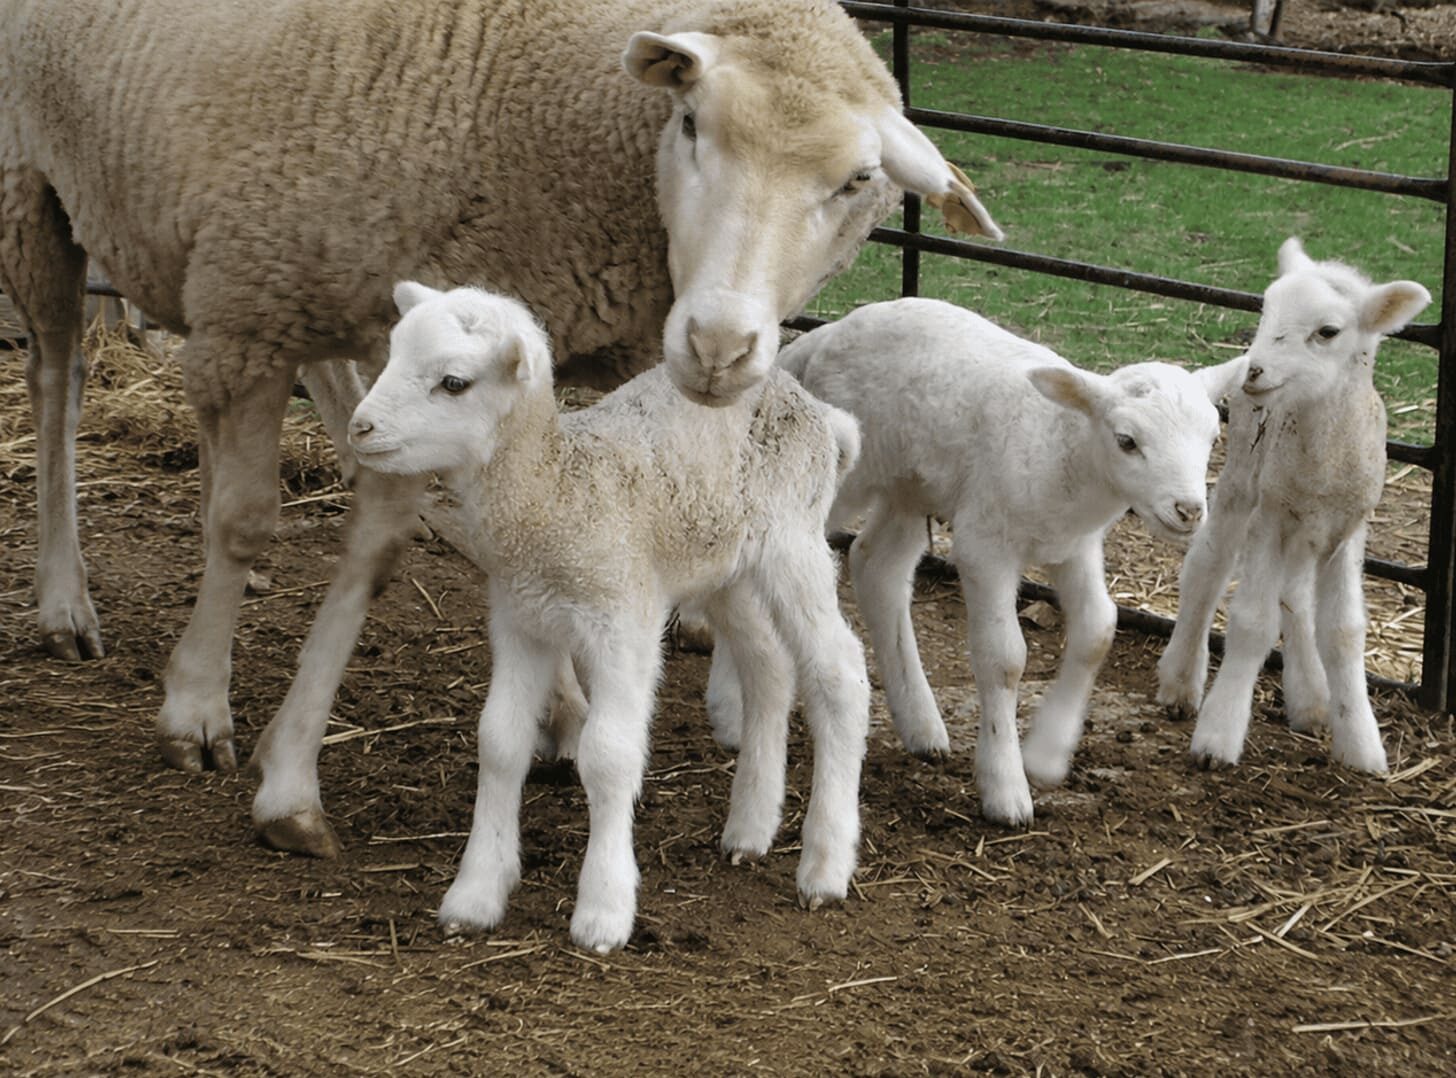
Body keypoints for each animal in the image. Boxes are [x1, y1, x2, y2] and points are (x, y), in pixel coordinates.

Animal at [0, 0, 1001, 857]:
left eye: (857, 180)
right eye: (689, 124)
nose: (719, 345)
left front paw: (562, 712)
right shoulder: (254, 305)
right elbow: (256, 527)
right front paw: (206, 712)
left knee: (324, 396)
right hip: (33, 186)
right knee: (56, 377)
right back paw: (65, 602)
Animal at [346, 282, 870, 953]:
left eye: (454, 382)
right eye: (392, 353)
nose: (361, 427)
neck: (554, 493)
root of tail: (821, 413)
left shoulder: (623, 622)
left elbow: (609, 754)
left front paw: (603, 910)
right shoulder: (520, 621)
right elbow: (500, 742)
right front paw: (475, 894)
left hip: (792, 542)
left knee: (839, 673)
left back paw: (825, 865)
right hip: (725, 565)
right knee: (768, 666)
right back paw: (749, 830)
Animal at [777, 297, 1247, 825]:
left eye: (1213, 438)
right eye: (1127, 440)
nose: (1189, 510)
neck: (1061, 450)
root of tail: (825, 335)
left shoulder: (1076, 546)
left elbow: (1098, 630)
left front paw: (1047, 753)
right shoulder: (985, 544)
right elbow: (1004, 658)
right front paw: (1006, 788)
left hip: (911, 484)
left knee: (877, 566)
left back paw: (921, 725)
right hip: (847, 477)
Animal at [1157, 239, 1431, 772]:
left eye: (1328, 332)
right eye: (1266, 311)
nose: (1255, 370)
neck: (1323, 465)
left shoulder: (1348, 527)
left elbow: (1344, 632)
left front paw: (1361, 746)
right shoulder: (1271, 514)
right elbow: (1251, 622)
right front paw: (1217, 738)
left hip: (1306, 530)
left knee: (1296, 595)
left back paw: (1312, 702)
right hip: (1243, 476)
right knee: (1207, 567)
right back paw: (1180, 682)